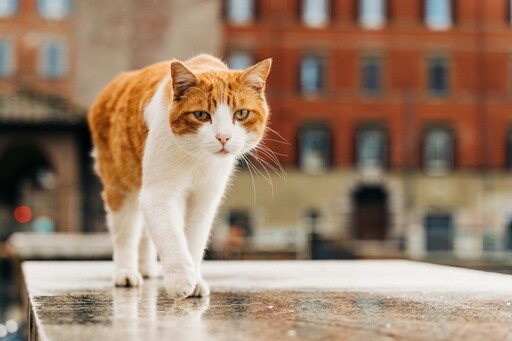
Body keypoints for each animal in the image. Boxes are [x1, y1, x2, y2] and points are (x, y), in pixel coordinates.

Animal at [88, 53, 272, 298]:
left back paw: (147, 269)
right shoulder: (160, 194)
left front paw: (195, 281)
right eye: (201, 115)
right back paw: (126, 273)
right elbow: (172, 237)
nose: (223, 137)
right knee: (125, 234)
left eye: (241, 114)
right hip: (120, 186)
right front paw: (181, 280)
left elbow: (194, 241)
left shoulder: (204, 199)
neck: (199, 160)